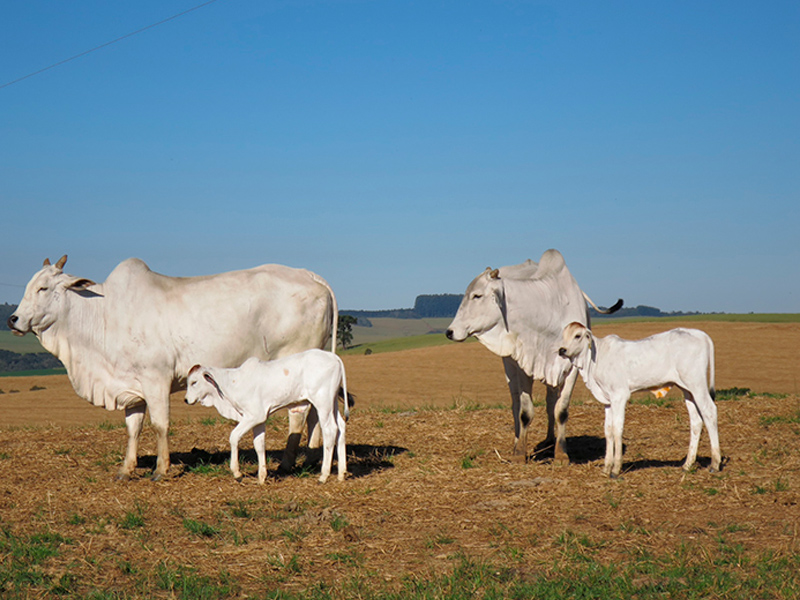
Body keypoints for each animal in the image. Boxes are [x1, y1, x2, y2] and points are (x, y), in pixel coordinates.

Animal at [7, 255, 336, 480]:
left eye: (43, 288)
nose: (13, 319)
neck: (105, 314)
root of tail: (311, 275)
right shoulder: (132, 386)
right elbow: (133, 428)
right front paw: (126, 469)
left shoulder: (156, 379)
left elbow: (160, 424)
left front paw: (160, 469)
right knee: (314, 416)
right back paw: (311, 458)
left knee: (298, 415)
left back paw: (287, 463)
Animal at [189, 352, 352, 482]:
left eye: (194, 382)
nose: (186, 399)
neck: (233, 382)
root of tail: (333, 356)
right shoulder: (259, 420)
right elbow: (259, 445)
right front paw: (262, 476)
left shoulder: (253, 416)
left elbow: (234, 436)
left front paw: (237, 472)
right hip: (332, 404)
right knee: (341, 427)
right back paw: (341, 474)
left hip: (322, 403)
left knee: (330, 430)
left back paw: (324, 476)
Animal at [444, 251, 624, 462]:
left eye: (477, 295)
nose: (450, 332)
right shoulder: (524, 365)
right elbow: (525, 412)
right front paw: (519, 453)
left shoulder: (571, 368)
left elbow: (561, 410)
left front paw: (561, 453)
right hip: (510, 366)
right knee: (515, 404)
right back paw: (517, 441)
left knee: (550, 402)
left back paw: (550, 440)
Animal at [560, 324, 720, 478]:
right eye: (564, 335)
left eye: (577, 335)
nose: (562, 350)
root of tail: (699, 333)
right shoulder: (608, 401)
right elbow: (608, 430)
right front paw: (606, 468)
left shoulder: (619, 396)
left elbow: (617, 429)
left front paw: (616, 469)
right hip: (687, 390)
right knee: (696, 421)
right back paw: (687, 465)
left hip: (697, 384)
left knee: (709, 411)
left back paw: (715, 463)